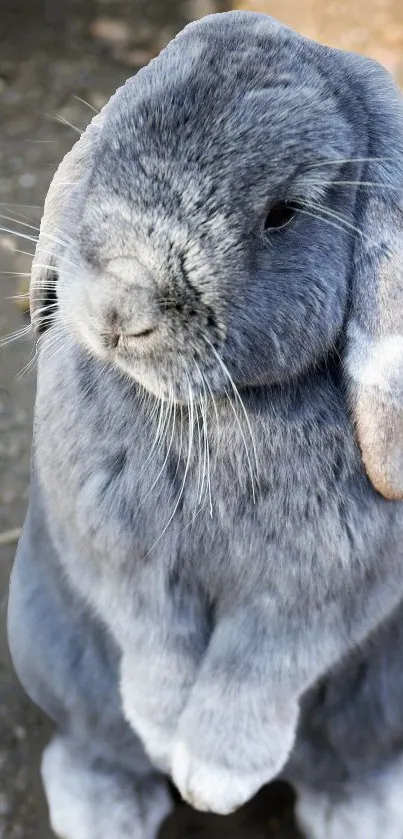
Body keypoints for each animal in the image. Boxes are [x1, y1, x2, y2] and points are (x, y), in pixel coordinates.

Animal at [6, 11, 403, 839]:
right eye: (108, 141)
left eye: (282, 213)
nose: (119, 307)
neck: (213, 409)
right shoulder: (121, 558)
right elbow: (154, 639)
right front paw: (166, 738)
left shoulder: (316, 592)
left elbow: (258, 665)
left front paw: (215, 780)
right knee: (91, 744)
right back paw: (107, 810)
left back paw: (358, 814)